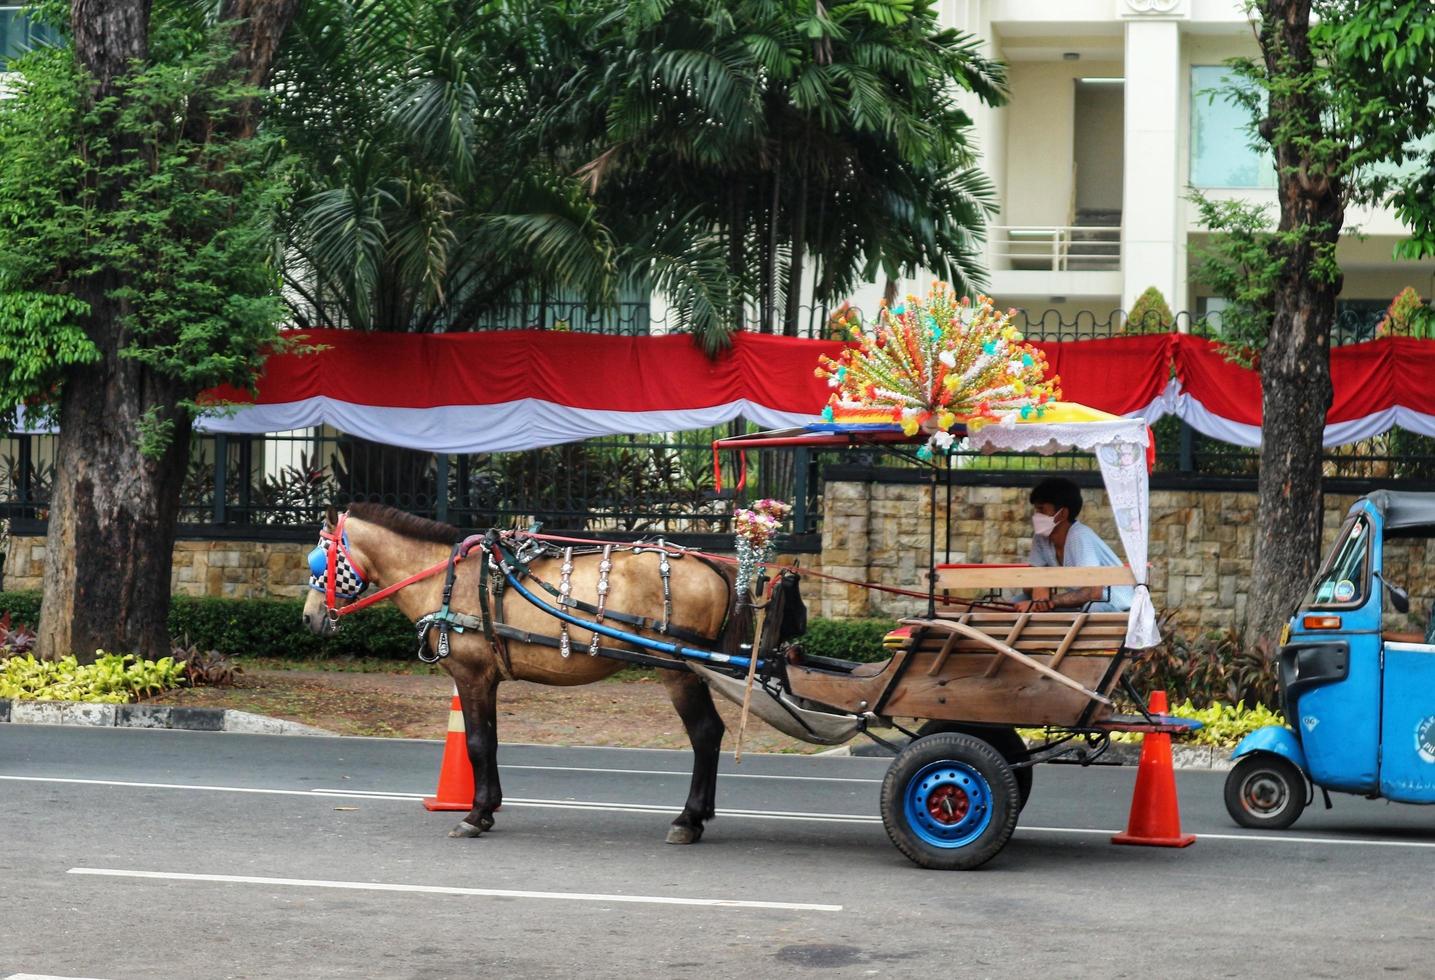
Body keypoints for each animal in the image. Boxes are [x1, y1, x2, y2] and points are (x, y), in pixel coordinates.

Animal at [297, 505, 734, 843]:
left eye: (320, 557)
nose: (309, 618)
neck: (444, 579)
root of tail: (711, 566)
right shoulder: (486, 678)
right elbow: (489, 742)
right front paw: (488, 807)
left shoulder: (470, 675)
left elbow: (475, 743)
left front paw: (474, 816)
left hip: (680, 671)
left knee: (705, 733)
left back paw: (689, 819)